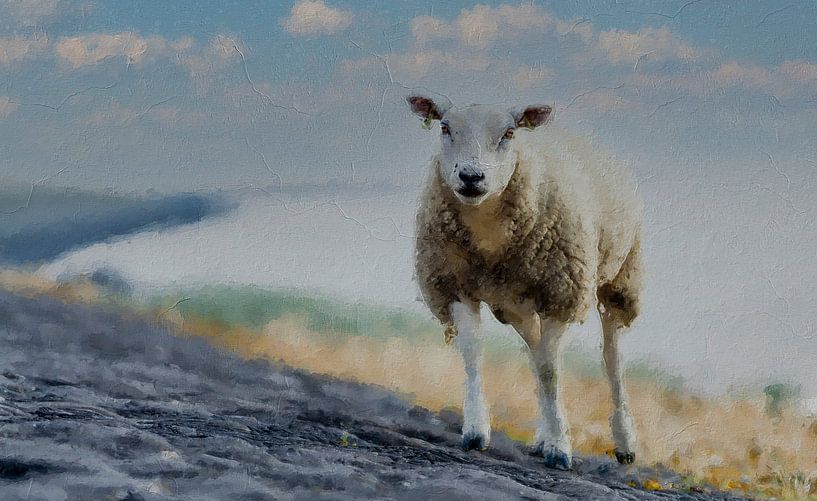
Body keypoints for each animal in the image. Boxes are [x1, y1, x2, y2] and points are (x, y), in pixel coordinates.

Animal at [407, 95, 643, 470]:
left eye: (509, 133)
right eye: (445, 127)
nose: (471, 176)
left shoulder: (561, 293)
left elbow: (550, 371)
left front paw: (560, 448)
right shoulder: (454, 283)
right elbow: (475, 353)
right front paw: (476, 431)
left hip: (619, 278)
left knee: (612, 358)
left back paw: (624, 442)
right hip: (515, 302)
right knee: (534, 349)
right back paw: (541, 435)